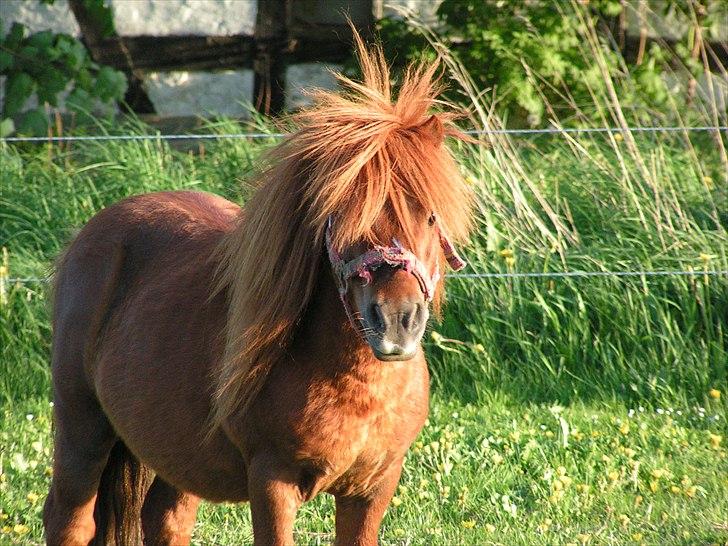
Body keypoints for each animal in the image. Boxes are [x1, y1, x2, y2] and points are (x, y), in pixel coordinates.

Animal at [44, 38, 472, 544]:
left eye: (430, 216)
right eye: (340, 217)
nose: (396, 323)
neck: (357, 387)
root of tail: (91, 234)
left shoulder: (374, 486)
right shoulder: (272, 482)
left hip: (177, 453)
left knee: (164, 519)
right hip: (83, 427)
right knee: (68, 517)